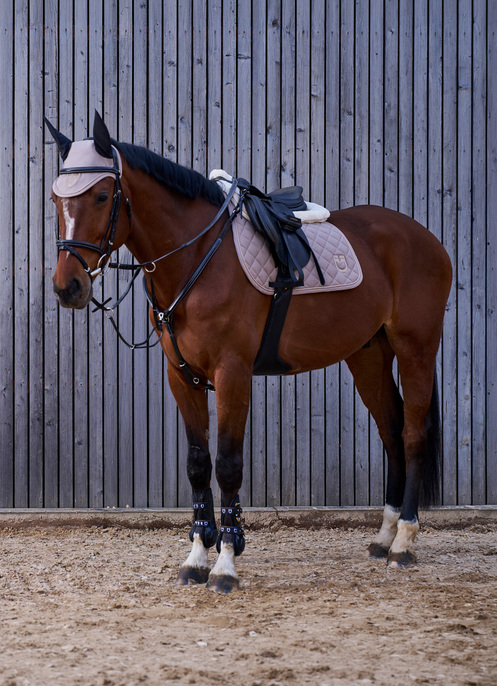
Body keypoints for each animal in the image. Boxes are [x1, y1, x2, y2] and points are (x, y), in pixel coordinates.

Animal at [46, 112, 452, 593]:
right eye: (56, 198)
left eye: (102, 195)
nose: (67, 287)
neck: (199, 257)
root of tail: (425, 238)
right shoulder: (181, 375)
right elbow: (198, 464)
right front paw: (197, 557)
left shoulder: (232, 373)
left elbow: (227, 465)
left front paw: (225, 564)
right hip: (368, 356)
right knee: (390, 434)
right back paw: (383, 537)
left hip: (415, 348)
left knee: (412, 435)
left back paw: (404, 543)